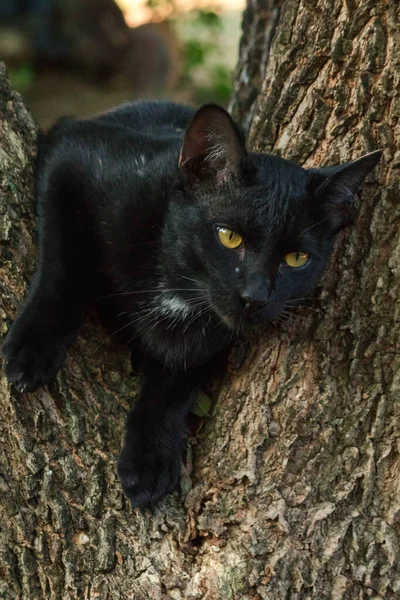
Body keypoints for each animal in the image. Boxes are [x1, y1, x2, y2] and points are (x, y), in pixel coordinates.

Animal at [2, 102, 382, 506]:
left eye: (297, 258)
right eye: (229, 237)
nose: (255, 296)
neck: (182, 286)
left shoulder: (210, 343)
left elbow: (175, 383)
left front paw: (150, 460)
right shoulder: (72, 152)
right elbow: (62, 261)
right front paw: (33, 349)